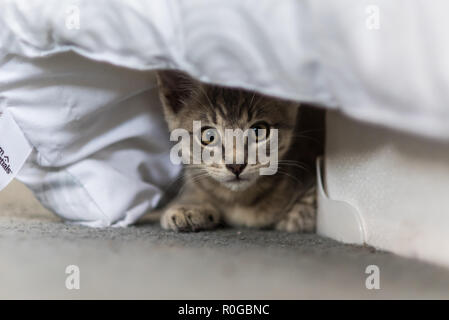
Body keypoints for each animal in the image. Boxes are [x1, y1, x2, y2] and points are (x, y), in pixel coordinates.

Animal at [155, 70, 322, 232]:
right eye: (209, 136)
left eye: (258, 130)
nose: (236, 165)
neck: (238, 199)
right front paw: (186, 207)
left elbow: (301, 211)